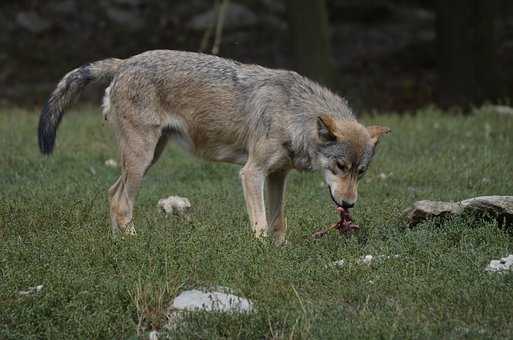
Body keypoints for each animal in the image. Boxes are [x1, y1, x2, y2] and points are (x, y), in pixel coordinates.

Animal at [37, 49, 388, 243]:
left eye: (361, 172)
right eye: (340, 167)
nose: (350, 204)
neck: (293, 114)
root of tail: (124, 62)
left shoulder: (278, 176)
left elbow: (278, 222)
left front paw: (281, 253)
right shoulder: (251, 173)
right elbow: (261, 224)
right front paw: (261, 254)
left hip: (148, 157)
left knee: (112, 194)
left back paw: (118, 244)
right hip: (142, 159)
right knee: (123, 203)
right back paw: (134, 244)